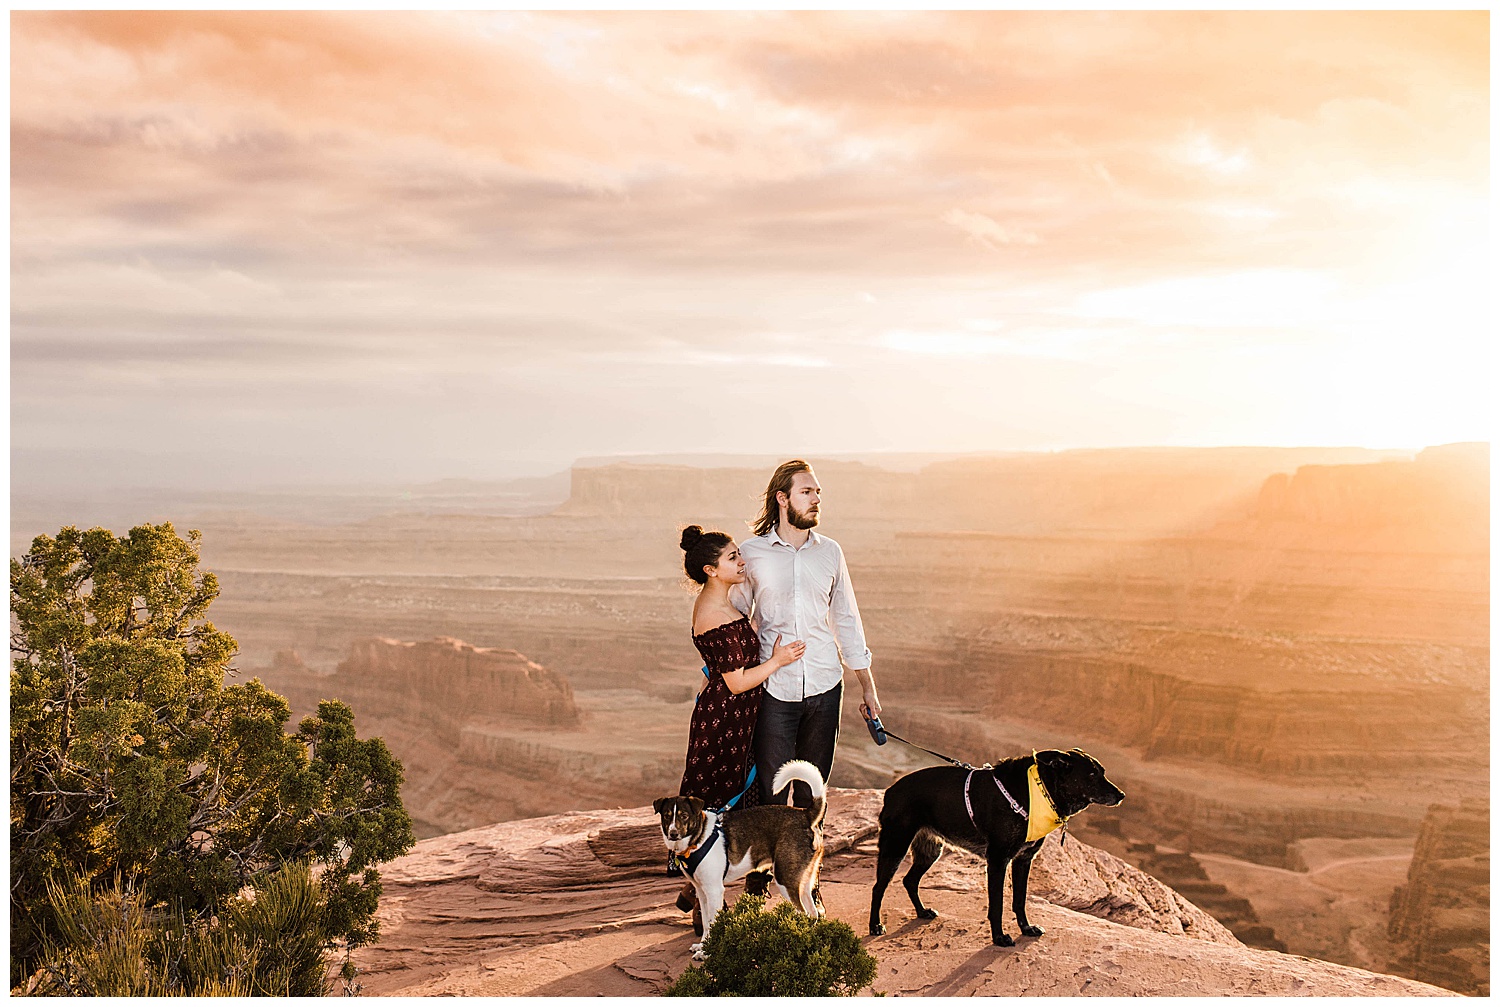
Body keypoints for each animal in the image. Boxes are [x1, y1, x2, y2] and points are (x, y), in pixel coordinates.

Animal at [651, 765, 828, 960]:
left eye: (683, 816)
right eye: (667, 816)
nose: (673, 833)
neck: (698, 838)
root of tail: (805, 814)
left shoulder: (714, 890)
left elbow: (711, 923)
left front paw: (706, 952)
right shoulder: (701, 891)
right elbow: (705, 922)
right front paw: (702, 946)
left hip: (785, 879)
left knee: (803, 912)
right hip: (803, 880)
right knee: (812, 913)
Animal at [870, 747, 1128, 948]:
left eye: (1102, 772)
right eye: (1092, 774)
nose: (1121, 795)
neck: (1036, 792)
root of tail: (890, 791)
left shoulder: (1023, 860)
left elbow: (1019, 900)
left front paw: (1026, 928)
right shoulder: (997, 861)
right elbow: (997, 905)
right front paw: (999, 937)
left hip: (930, 851)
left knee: (909, 880)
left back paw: (922, 912)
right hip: (896, 845)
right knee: (878, 887)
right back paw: (875, 925)